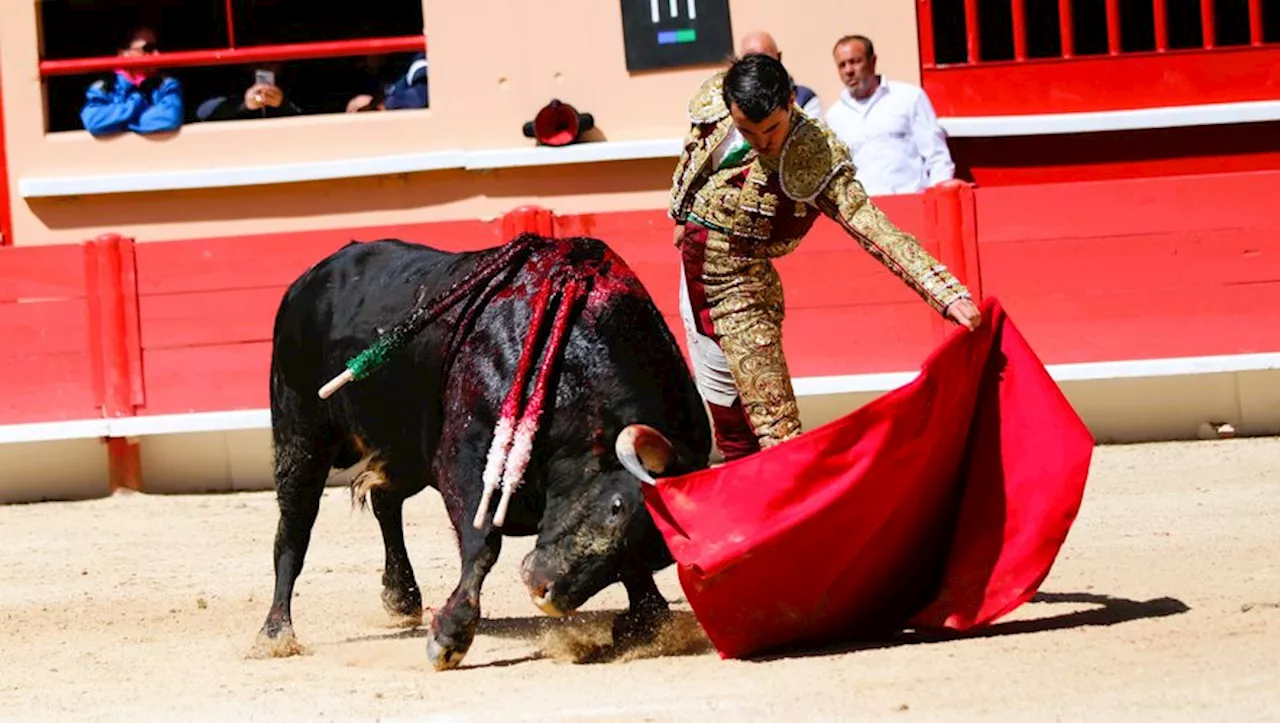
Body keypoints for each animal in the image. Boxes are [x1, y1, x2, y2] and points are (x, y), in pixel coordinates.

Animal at [254, 234, 716, 670]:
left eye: (661, 553)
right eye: (616, 507)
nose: (546, 594)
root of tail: (312, 276)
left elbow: (641, 588)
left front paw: (643, 621)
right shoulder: (467, 461)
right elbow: (483, 545)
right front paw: (449, 637)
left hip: (407, 448)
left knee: (385, 500)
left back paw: (401, 596)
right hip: (301, 431)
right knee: (295, 526)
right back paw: (276, 632)